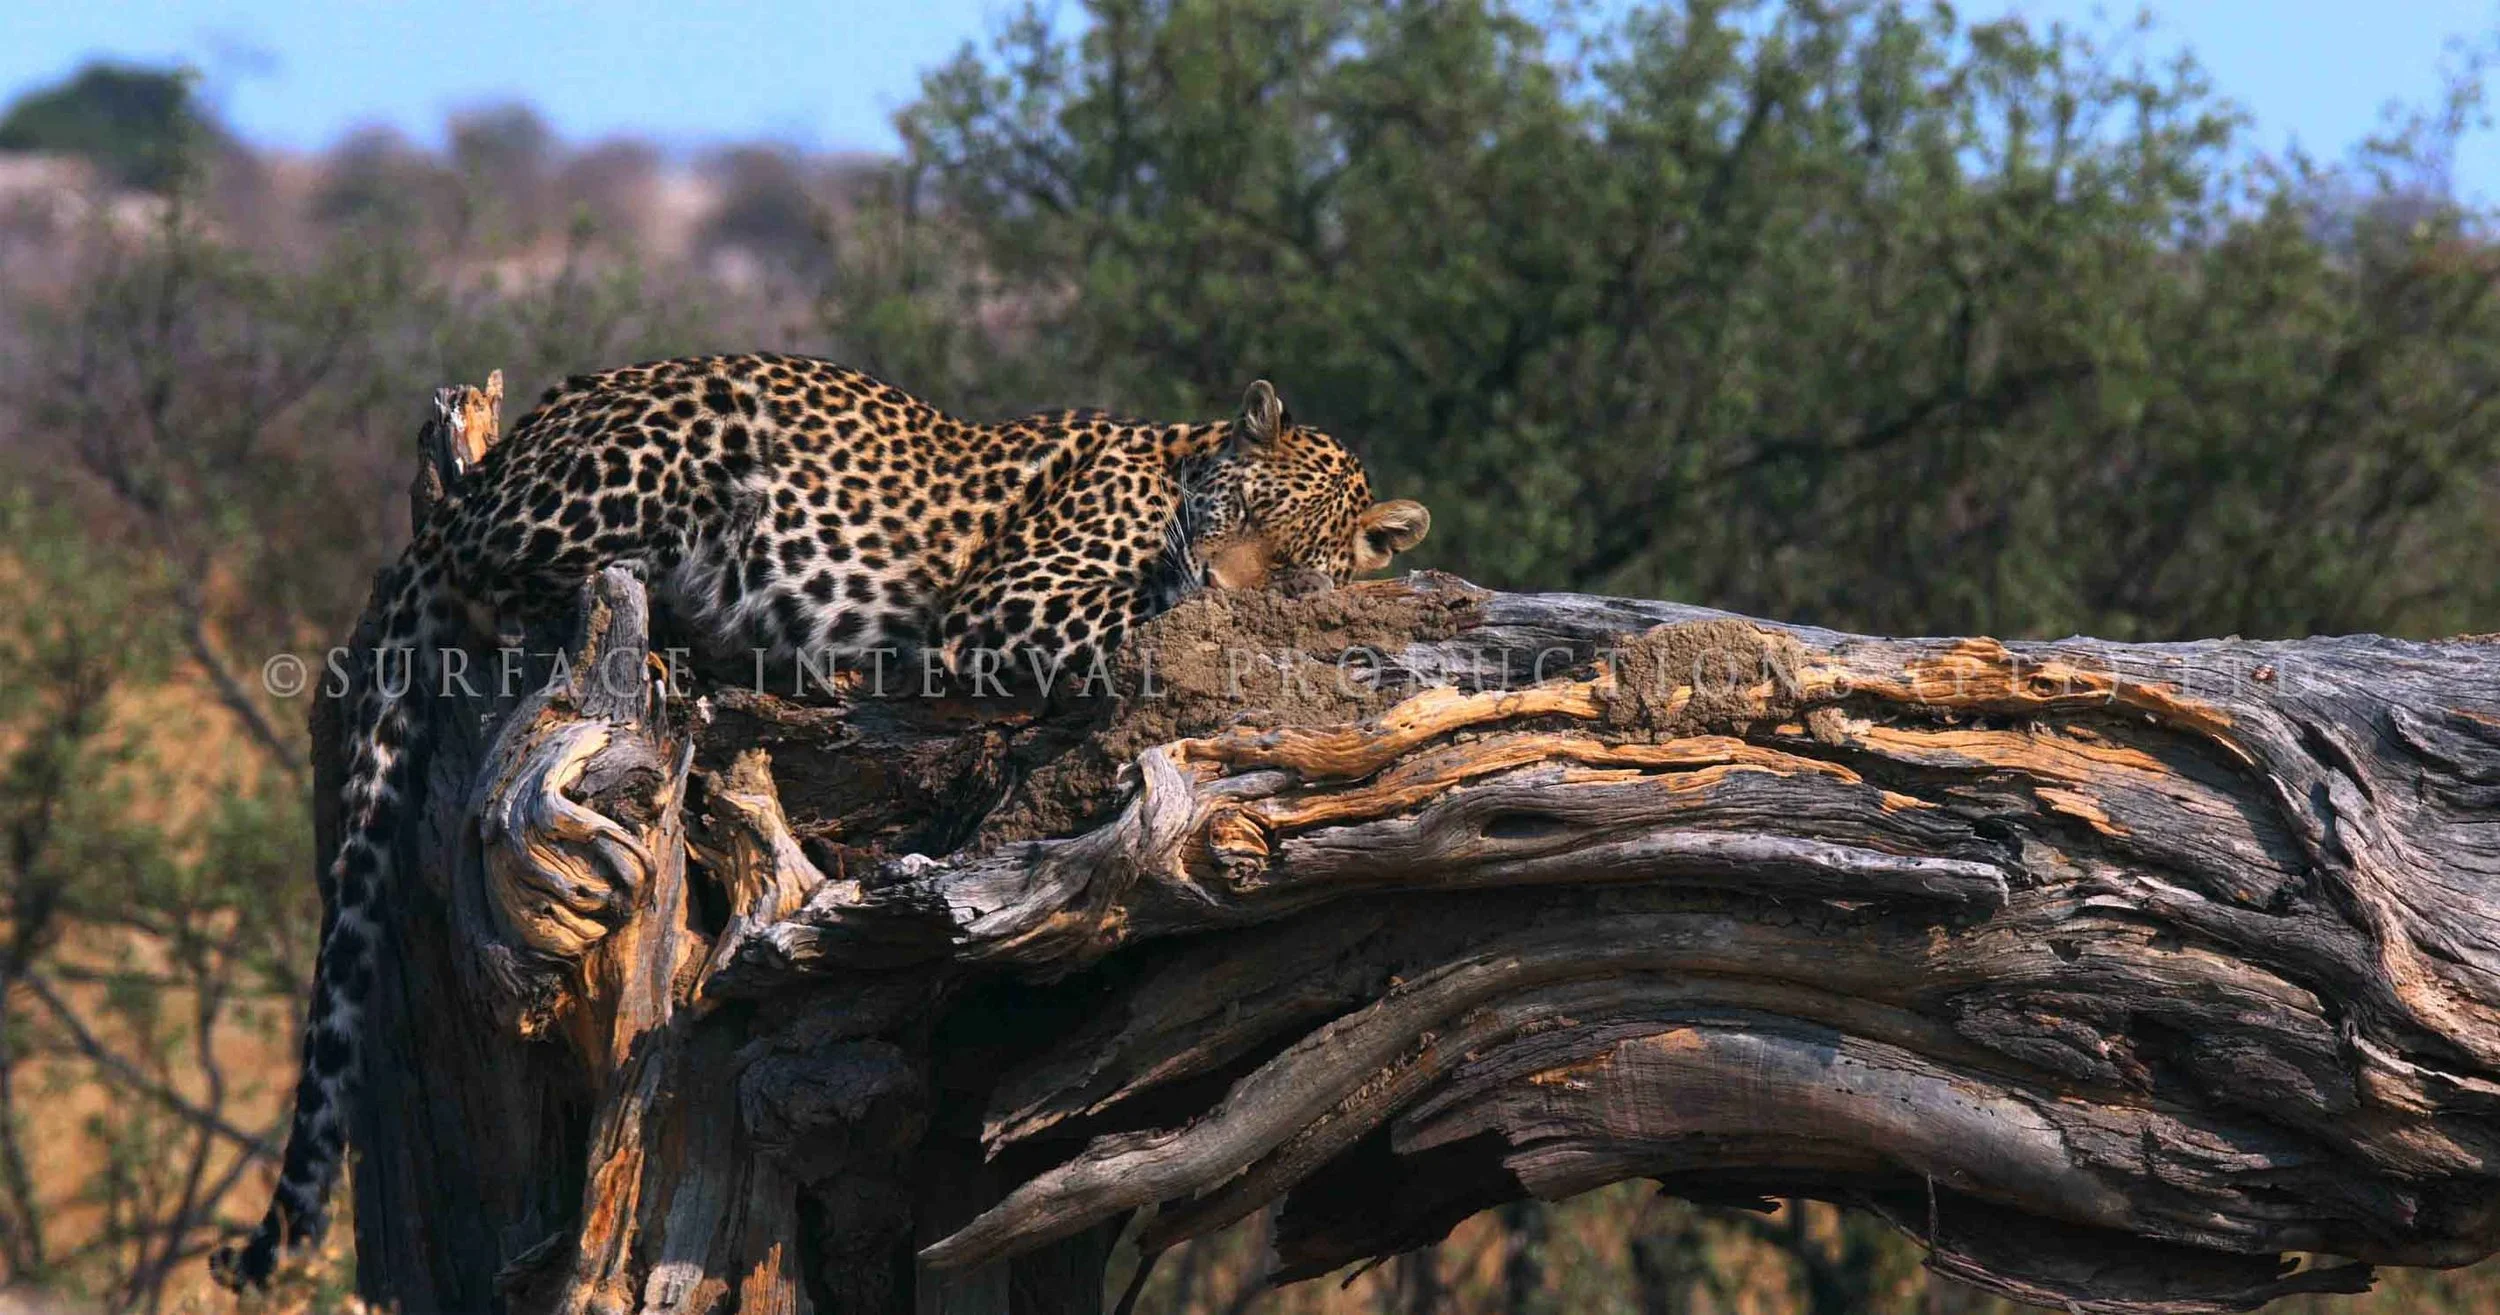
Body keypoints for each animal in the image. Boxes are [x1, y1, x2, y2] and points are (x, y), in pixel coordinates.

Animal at [209, 351, 1429, 1289]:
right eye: (1242, 509)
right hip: (678, 452)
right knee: (509, 587)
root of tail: (499, 460)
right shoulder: (1014, 599)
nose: (1225, 581)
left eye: (1297, 553)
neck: (1178, 464)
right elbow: (1138, 621)